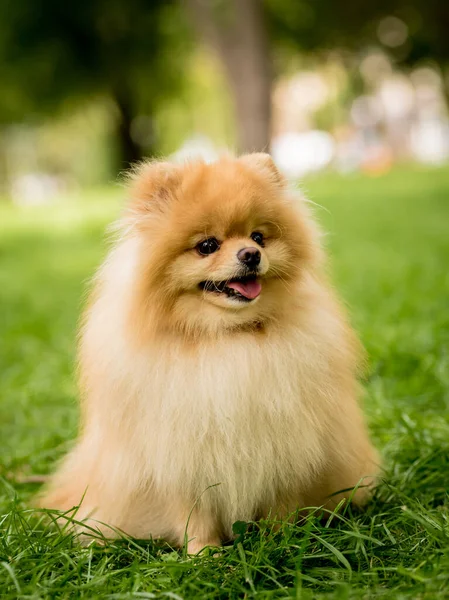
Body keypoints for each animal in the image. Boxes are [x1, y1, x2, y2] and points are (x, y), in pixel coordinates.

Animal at [41, 152, 378, 552]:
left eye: (259, 237)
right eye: (207, 246)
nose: (251, 254)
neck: (225, 336)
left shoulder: (286, 444)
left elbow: (282, 502)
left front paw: (282, 542)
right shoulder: (178, 456)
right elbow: (193, 514)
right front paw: (204, 554)